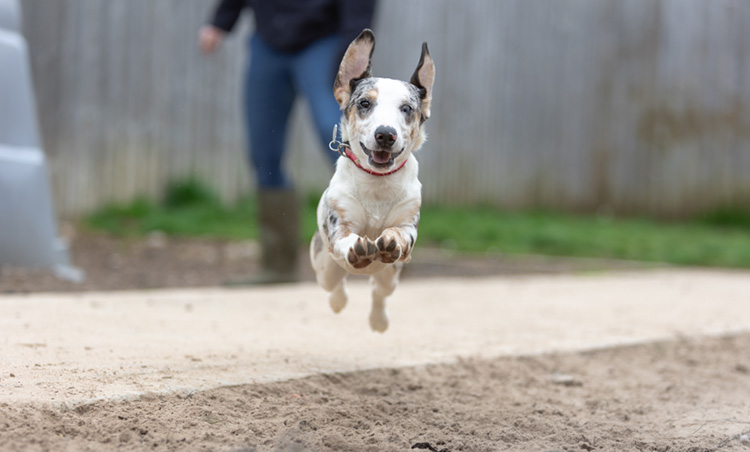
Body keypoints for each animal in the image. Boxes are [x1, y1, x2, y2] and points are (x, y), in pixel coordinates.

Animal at [308, 29, 434, 332]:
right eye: (365, 103)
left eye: (407, 108)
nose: (385, 134)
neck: (377, 184)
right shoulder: (338, 226)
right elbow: (346, 239)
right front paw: (359, 248)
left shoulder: (408, 222)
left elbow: (401, 234)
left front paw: (389, 241)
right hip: (323, 264)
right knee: (334, 284)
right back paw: (338, 301)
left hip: (391, 275)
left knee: (379, 290)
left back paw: (378, 320)